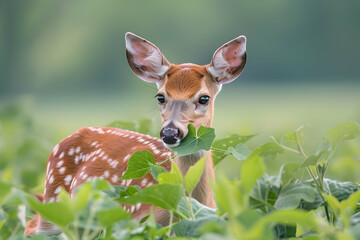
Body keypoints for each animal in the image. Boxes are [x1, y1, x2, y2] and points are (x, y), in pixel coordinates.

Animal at [23, 31, 246, 236]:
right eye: (160, 97)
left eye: (204, 98)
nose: (170, 132)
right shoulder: (136, 225)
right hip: (54, 199)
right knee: (30, 226)